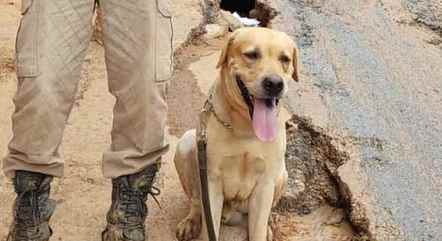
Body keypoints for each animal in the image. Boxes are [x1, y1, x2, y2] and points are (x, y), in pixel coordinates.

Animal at [174, 27, 298, 240]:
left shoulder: (265, 185)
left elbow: (257, 229)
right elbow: (209, 229)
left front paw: (262, 230)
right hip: (187, 145)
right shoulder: (212, 181)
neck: (246, 128)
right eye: (252, 54)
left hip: (282, 174)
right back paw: (191, 220)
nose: (275, 83)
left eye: (285, 59)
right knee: (197, 201)